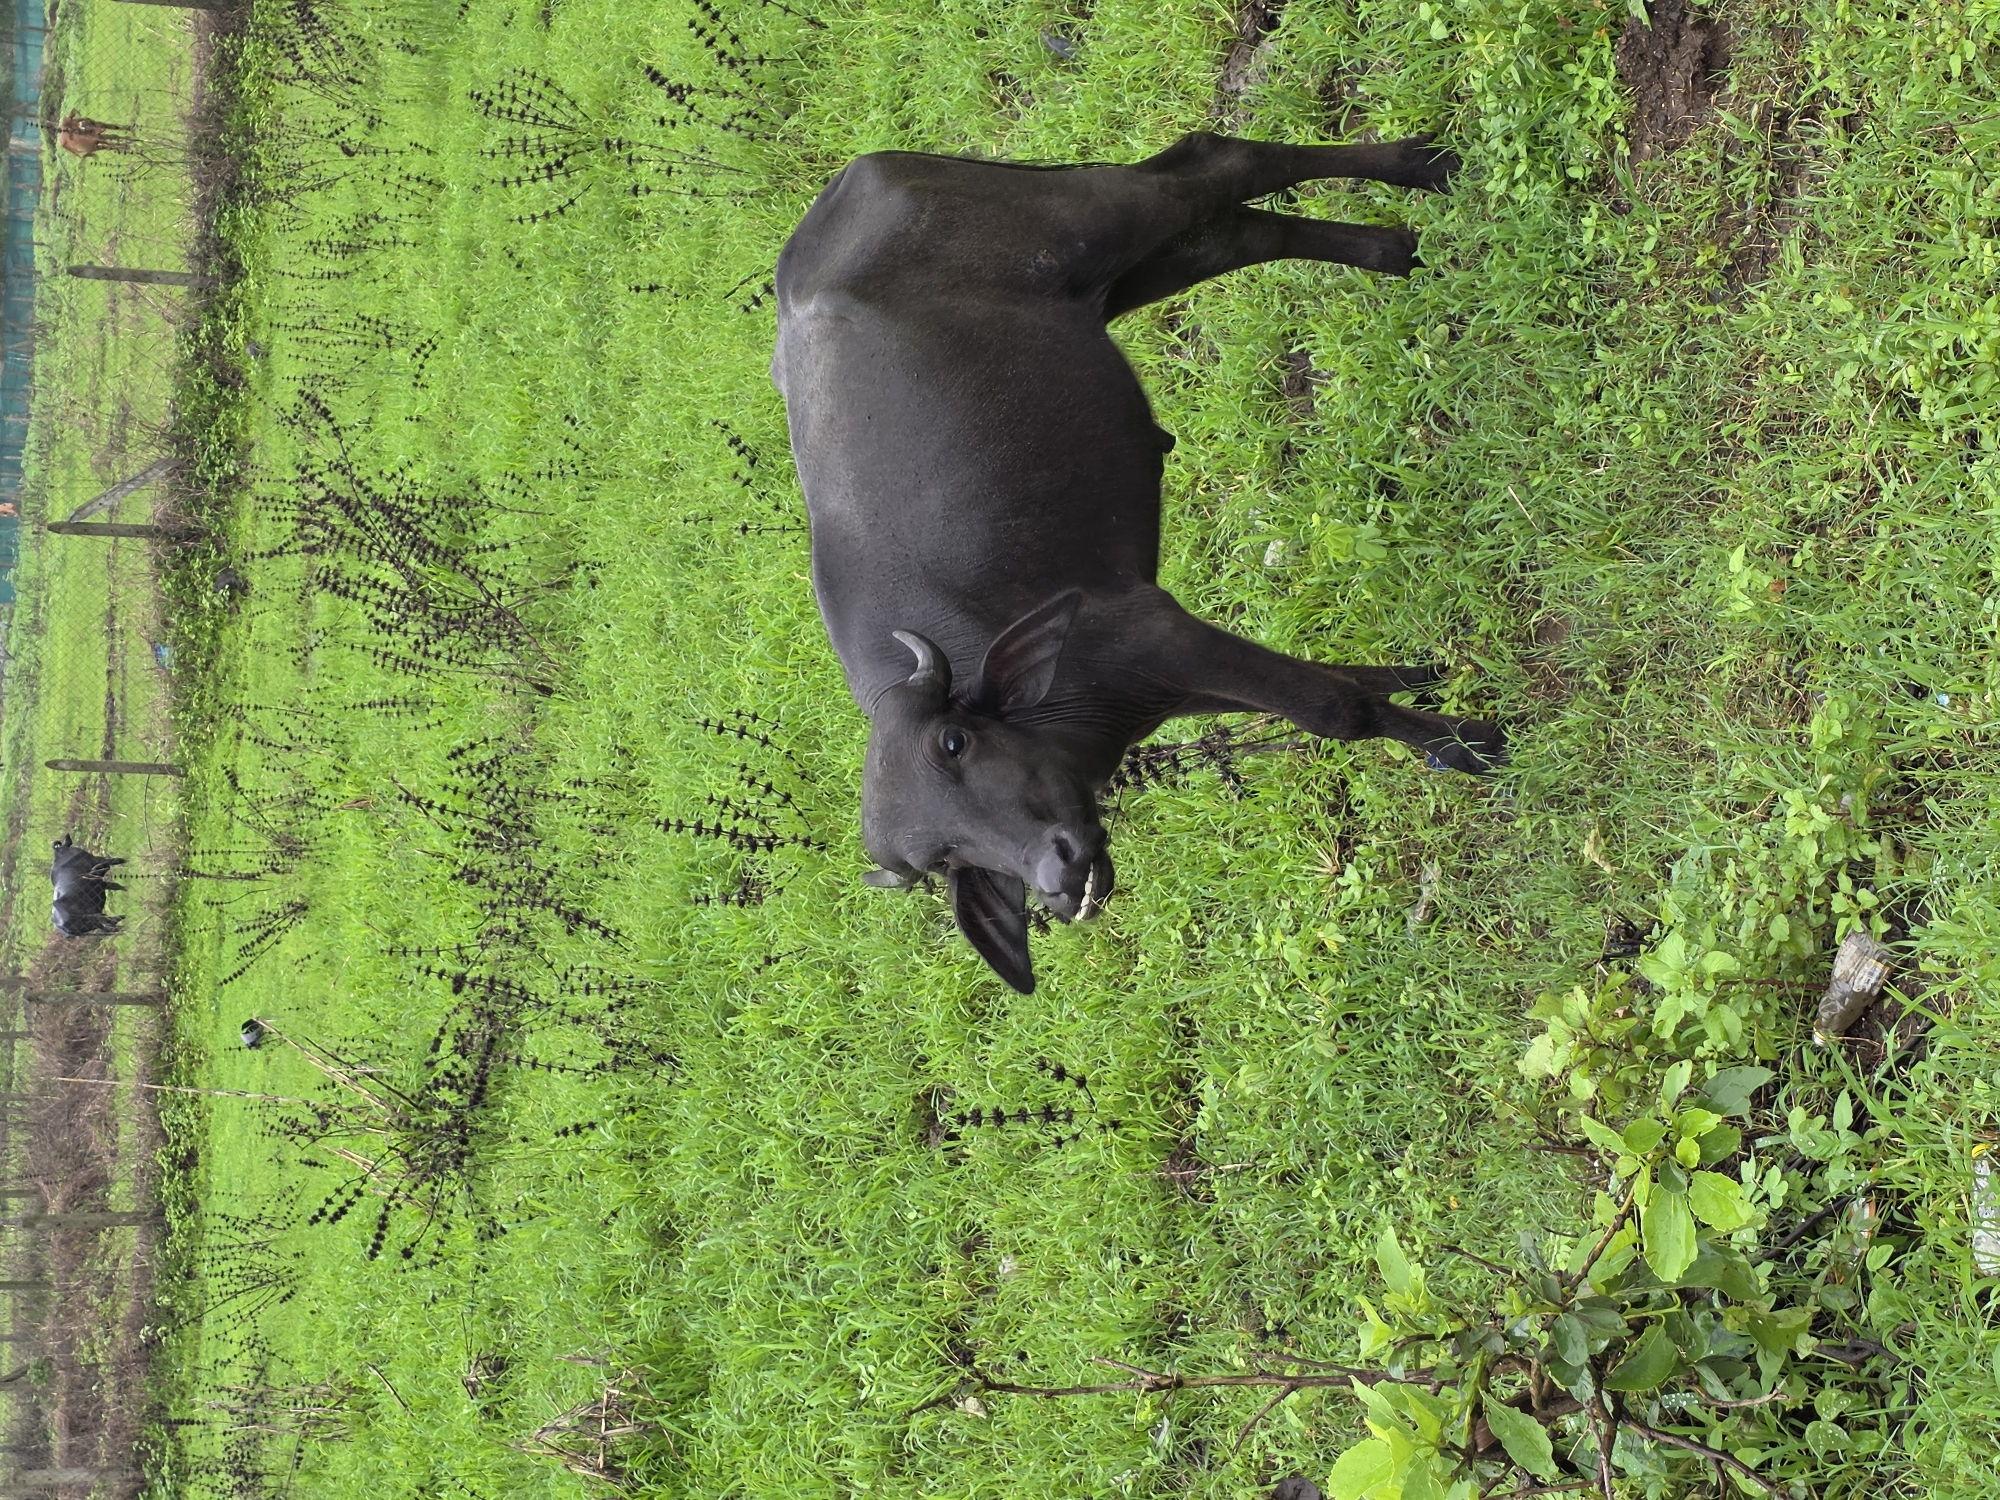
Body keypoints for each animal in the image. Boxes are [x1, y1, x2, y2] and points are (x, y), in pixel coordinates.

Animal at [772, 131, 1505, 993]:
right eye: (940, 858)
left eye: (955, 744)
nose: (1057, 875)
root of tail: (860, 179)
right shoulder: (1172, 687)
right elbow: (1341, 691)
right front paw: (1424, 678)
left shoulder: (1158, 633)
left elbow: (1336, 713)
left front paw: (1475, 746)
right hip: (1110, 281)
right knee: (1236, 230)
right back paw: (1395, 248)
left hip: (1091, 222)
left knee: (1218, 166)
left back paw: (1426, 167)